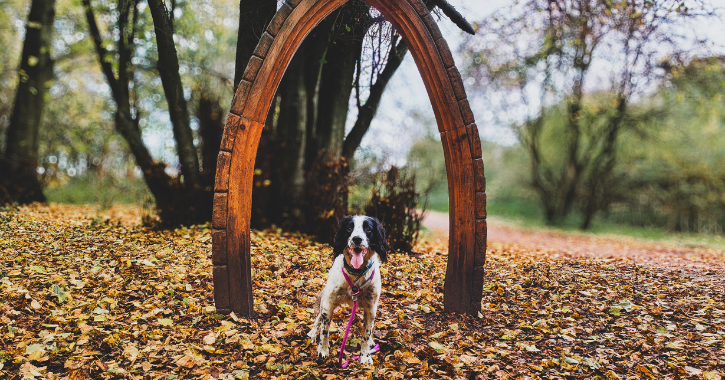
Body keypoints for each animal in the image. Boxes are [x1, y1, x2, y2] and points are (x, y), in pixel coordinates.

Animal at [306, 215, 388, 364]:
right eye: (349, 228)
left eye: (368, 229)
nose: (357, 239)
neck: (356, 274)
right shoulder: (329, 303)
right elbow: (324, 331)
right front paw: (323, 350)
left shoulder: (371, 308)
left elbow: (366, 334)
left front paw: (365, 356)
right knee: (319, 318)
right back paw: (313, 333)